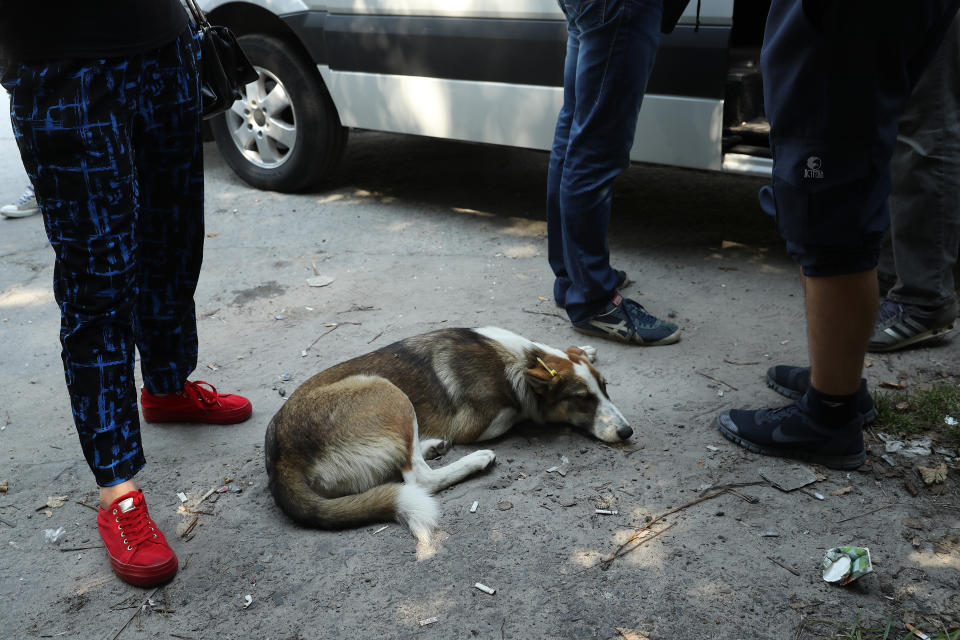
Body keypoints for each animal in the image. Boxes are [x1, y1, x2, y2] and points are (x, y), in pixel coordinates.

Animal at [266, 324, 632, 540]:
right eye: (582, 399)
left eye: (605, 388)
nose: (627, 432)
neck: (527, 359)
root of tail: (280, 458)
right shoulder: (482, 423)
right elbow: (519, 412)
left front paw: (585, 349)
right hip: (387, 391)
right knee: (418, 478)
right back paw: (474, 460)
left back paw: (432, 446)